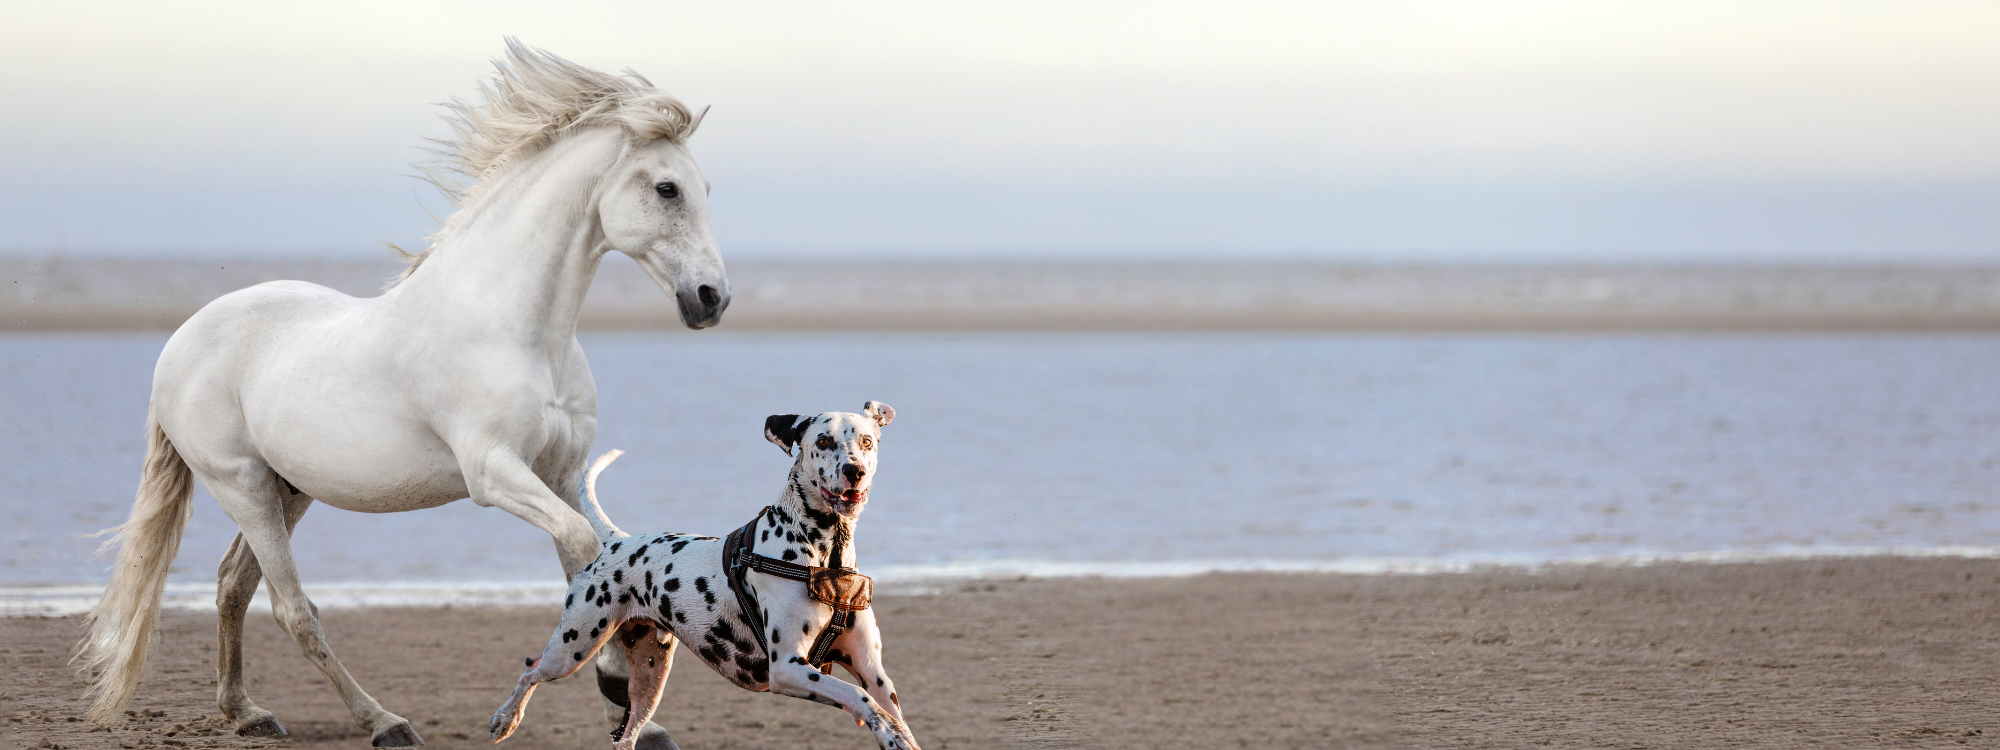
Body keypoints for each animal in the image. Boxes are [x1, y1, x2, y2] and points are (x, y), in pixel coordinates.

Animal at [84, 42, 736, 750]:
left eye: (705, 189)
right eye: (667, 188)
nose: (712, 299)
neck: (519, 331)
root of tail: (179, 341)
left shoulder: (562, 474)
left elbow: (586, 562)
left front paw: (638, 720)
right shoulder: (493, 473)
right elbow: (584, 546)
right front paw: (618, 689)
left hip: (289, 489)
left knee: (234, 586)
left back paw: (247, 713)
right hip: (243, 486)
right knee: (292, 610)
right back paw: (384, 722)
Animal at [496, 402, 916, 750]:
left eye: (866, 441)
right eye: (824, 440)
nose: (854, 471)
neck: (826, 557)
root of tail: (616, 541)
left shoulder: (874, 674)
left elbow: (888, 709)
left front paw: (896, 734)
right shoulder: (788, 667)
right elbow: (858, 698)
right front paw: (884, 730)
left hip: (648, 680)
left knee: (627, 736)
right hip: (572, 648)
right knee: (530, 672)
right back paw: (505, 719)